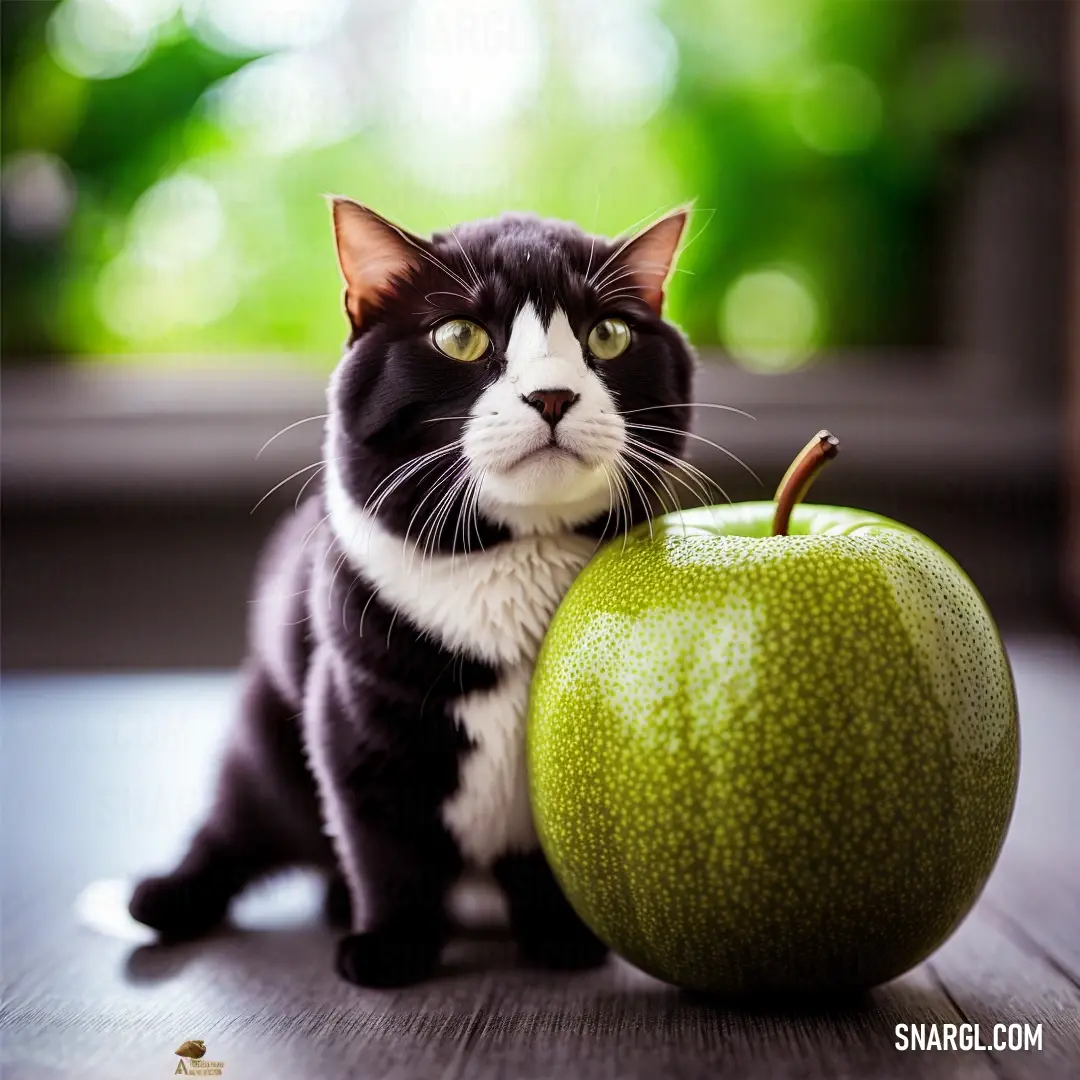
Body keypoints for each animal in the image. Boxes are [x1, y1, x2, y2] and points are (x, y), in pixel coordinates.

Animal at [128, 200, 691, 989]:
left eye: (607, 335)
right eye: (459, 336)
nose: (553, 393)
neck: (514, 554)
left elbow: (545, 857)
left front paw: (559, 940)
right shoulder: (356, 708)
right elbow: (385, 845)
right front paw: (388, 949)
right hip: (265, 739)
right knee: (238, 823)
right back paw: (171, 898)